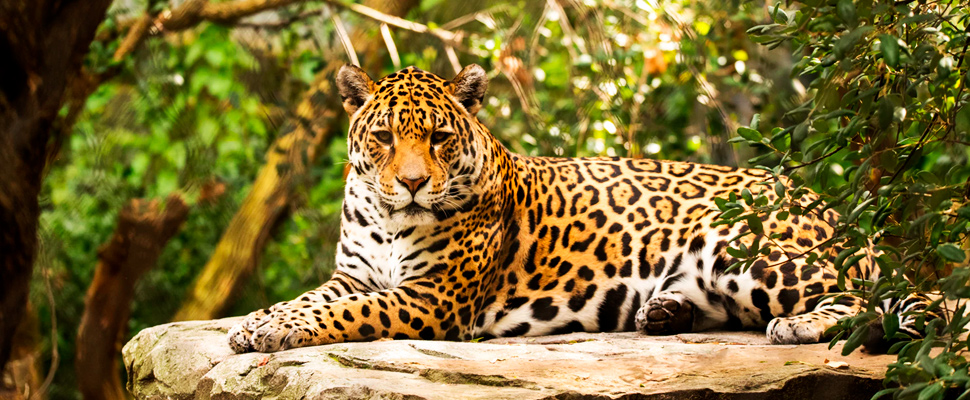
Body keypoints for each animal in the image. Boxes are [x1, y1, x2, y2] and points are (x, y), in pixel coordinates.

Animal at [228, 64, 938, 354]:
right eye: (382, 138)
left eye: (438, 137)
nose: (410, 183)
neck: (387, 217)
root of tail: (825, 202)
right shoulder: (353, 272)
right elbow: (313, 299)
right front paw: (257, 322)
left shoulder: (431, 299)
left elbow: (345, 313)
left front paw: (269, 330)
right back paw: (664, 311)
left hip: (742, 246)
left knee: (875, 297)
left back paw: (798, 326)